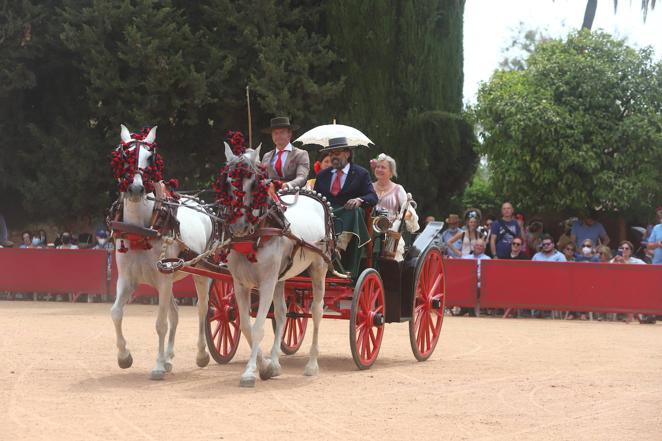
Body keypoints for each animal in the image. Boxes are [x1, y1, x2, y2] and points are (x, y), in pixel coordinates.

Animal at [111, 124, 214, 378]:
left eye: (150, 157)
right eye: (125, 156)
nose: (136, 188)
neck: (141, 229)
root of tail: (200, 204)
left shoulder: (163, 279)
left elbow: (160, 324)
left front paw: (157, 365)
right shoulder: (127, 279)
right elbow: (116, 313)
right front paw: (124, 357)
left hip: (200, 272)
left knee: (202, 310)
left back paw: (201, 354)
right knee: (175, 314)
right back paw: (169, 358)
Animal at [220, 144, 330, 384]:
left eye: (254, 183)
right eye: (227, 182)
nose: (239, 225)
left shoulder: (267, 282)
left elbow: (258, 328)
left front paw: (250, 371)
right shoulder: (239, 284)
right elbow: (246, 326)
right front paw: (266, 367)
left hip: (318, 268)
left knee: (316, 311)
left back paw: (312, 365)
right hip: (282, 278)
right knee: (281, 313)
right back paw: (276, 362)